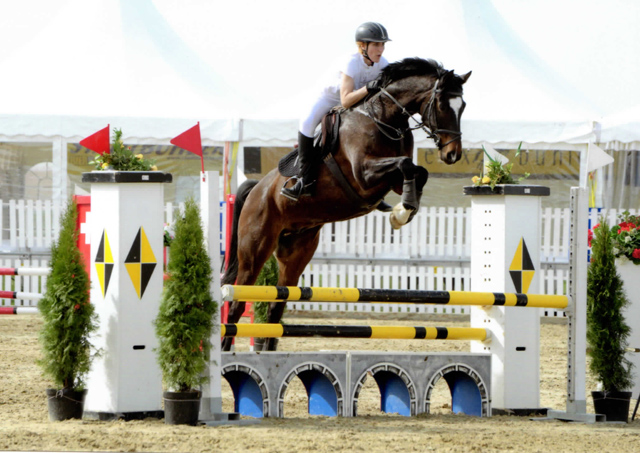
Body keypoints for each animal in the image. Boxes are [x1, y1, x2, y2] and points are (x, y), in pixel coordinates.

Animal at [221, 57, 470, 350]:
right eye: (442, 105)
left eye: (463, 106)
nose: (452, 154)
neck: (384, 120)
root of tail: (256, 189)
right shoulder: (364, 175)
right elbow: (407, 165)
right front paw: (401, 211)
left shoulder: (393, 181)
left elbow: (418, 171)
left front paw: (402, 210)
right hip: (254, 249)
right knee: (236, 304)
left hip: (296, 254)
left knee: (276, 307)